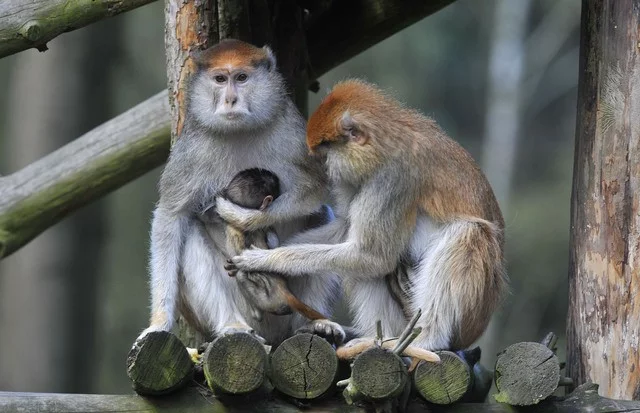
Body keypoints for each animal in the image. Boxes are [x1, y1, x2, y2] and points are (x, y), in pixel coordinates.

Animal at [228, 79, 508, 350]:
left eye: (326, 152)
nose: (325, 170)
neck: (383, 144)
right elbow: (347, 228)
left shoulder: (392, 178)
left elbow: (372, 255)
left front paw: (265, 260)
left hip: (469, 318)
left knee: (469, 231)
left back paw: (423, 339)